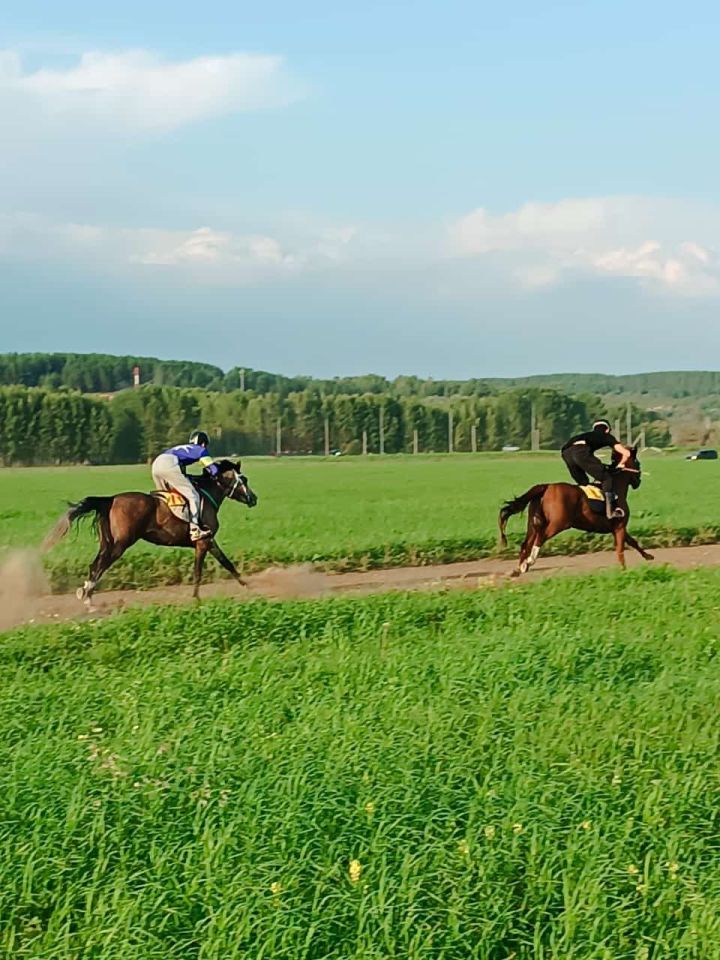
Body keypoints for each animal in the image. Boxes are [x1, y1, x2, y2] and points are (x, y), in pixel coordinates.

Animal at [43, 460, 258, 608]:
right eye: (244, 479)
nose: (254, 498)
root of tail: (111, 499)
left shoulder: (209, 541)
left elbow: (226, 562)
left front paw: (248, 586)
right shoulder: (202, 542)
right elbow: (198, 571)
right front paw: (196, 598)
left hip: (107, 542)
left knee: (95, 564)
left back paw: (88, 595)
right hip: (121, 544)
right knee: (102, 564)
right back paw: (87, 595)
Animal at [498, 446, 656, 572]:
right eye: (637, 463)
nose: (638, 481)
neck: (617, 488)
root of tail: (546, 487)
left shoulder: (616, 527)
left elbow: (633, 542)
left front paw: (648, 556)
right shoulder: (620, 527)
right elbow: (621, 549)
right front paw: (623, 569)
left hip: (533, 523)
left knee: (526, 544)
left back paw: (521, 566)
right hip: (558, 524)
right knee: (540, 538)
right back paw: (530, 561)